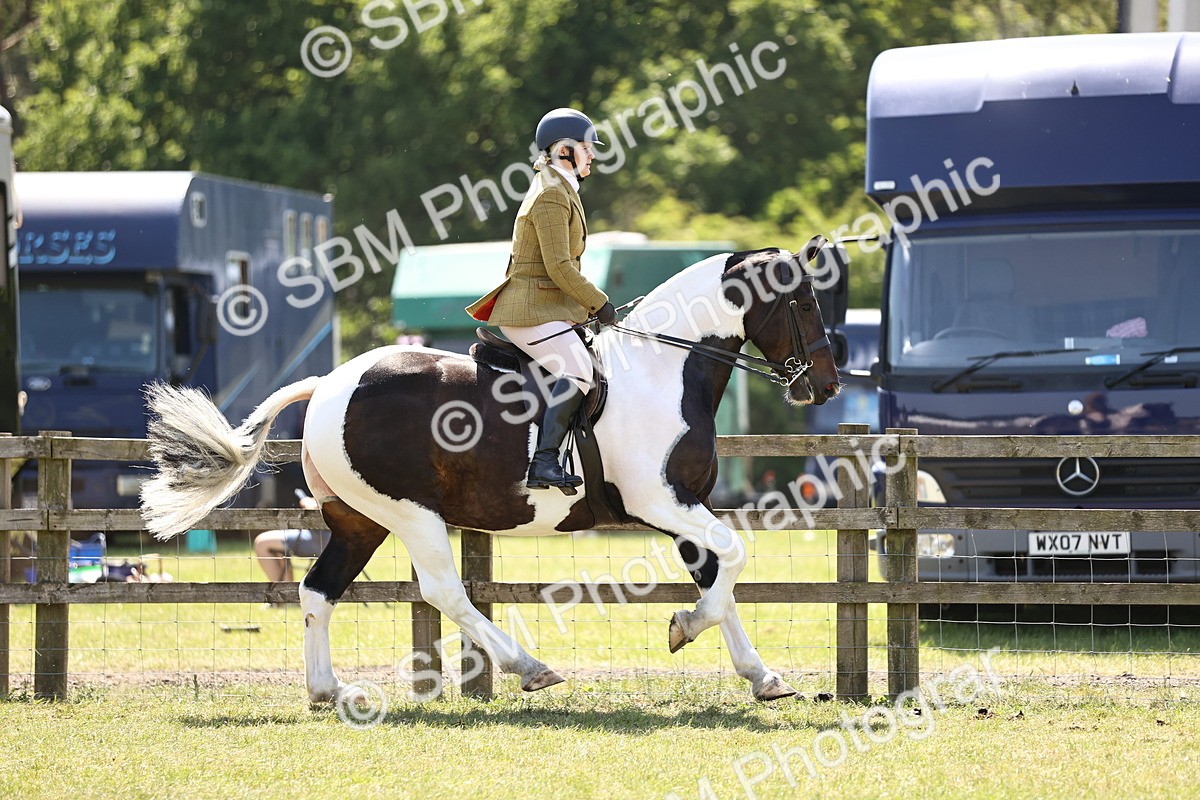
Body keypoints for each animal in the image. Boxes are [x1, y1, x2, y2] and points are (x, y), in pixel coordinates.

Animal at [139, 241, 842, 704]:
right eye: (804, 303)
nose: (827, 386)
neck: (660, 370)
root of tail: (330, 383)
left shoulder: (684, 505)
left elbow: (719, 575)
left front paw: (761, 676)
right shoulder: (659, 501)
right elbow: (735, 556)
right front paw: (685, 628)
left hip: (359, 521)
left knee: (319, 591)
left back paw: (328, 690)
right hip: (411, 514)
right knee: (444, 593)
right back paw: (528, 667)